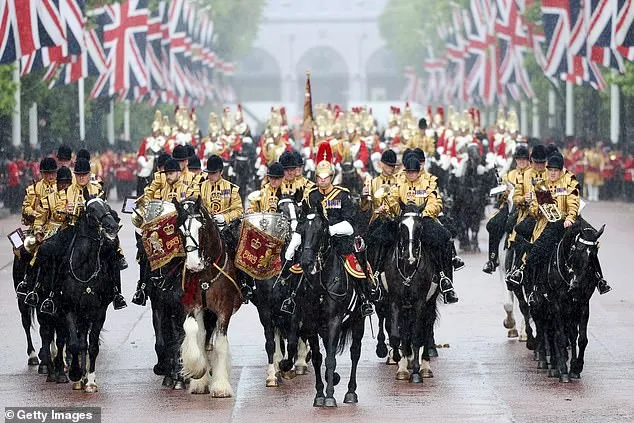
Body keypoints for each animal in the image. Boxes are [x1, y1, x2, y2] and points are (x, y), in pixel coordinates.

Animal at [56, 195, 121, 394]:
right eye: (91, 210)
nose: (113, 226)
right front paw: (76, 374)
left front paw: (90, 380)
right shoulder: (69, 308)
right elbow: (74, 344)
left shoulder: (99, 311)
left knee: (85, 342)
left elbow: (92, 345)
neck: (85, 268)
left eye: (108, 207)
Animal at [174, 199, 243, 398]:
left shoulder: (224, 310)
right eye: (179, 228)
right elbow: (193, 331)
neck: (206, 273)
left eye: (201, 226)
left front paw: (220, 385)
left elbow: (220, 343)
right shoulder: (194, 305)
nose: (193, 264)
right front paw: (198, 374)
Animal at [296, 211, 362, 408]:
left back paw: (351, 392)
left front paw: (330, 396)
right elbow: (318, 358)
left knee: (355, 352)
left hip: (358, 320)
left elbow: (331, 359)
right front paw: (319, 394)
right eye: (301, 230)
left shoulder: (334, 321)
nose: (306, 262)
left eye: (321, 231)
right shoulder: (311, 324)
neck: (321, 286)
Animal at [380, 205, 440, 384]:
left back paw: (425, 367)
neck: (408, 268)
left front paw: (415, 373)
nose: (411, 256)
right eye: (401, 226)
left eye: (420, 227)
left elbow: (417, 335)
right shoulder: (395, 301)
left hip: (430, 304)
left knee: (427, 328)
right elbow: (396, 334)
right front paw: (400, 363)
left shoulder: (420, 302)